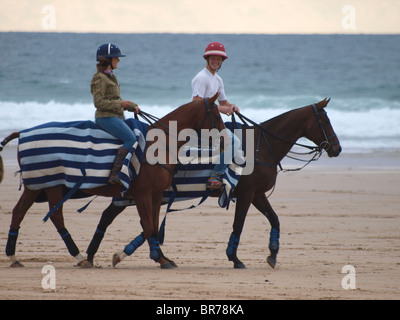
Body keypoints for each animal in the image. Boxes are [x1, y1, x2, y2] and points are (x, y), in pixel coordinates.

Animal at [1, 94, 223, 268]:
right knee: (55, 217)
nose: (225, 140)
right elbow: (148, 226)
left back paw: (14, 257)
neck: (159, 144)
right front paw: (139, 257)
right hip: (49, 185)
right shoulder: (142, 194)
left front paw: (161, 258)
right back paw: (79, 257)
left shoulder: (156, 195)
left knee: (20, 212)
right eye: (217, 115)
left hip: (39, 185)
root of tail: (23, 132)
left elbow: (153, 226)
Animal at [84, 97, 340, 268]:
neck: (261, 147)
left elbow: (274, 219)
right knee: (112, 217)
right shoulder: (247, 194)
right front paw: (234, 258)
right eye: (325, 121)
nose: (337, 148)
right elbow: (239, 224)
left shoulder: (257, 195)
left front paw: (273, 254)